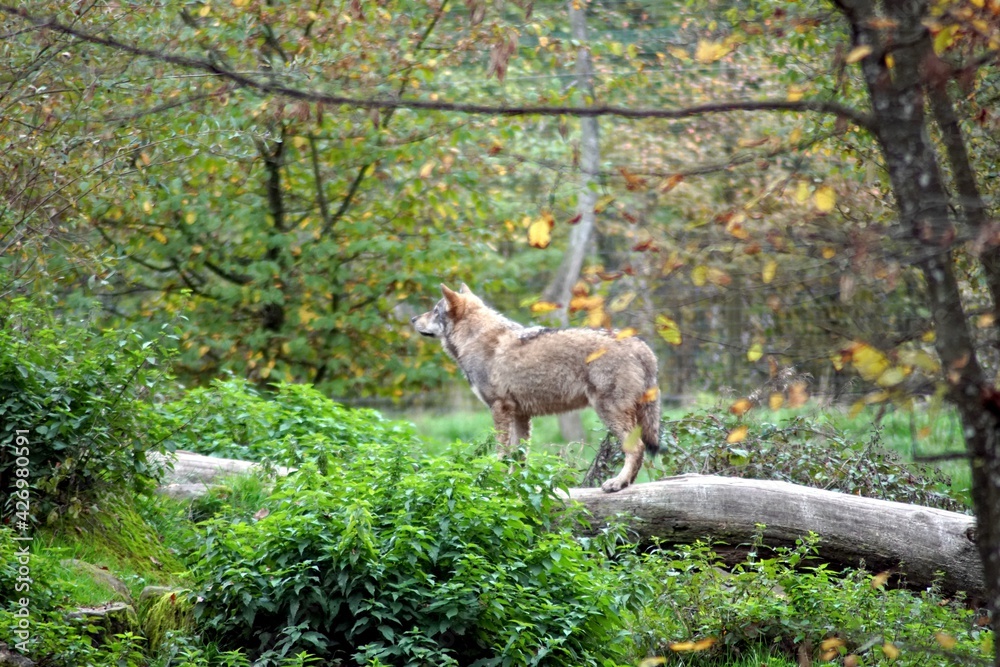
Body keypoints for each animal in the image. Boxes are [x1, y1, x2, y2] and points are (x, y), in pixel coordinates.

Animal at [411, 284, 661, 492]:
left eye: (434, 310)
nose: (413, 319)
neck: (475, 339)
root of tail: (641, 345)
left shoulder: (499, 408)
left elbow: (501, 453)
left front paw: (495, 481)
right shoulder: (520, 415)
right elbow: (518, 457)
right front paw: (512, 486)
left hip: (609, 411)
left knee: (637, 448)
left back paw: (617, 483)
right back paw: (626, 483)